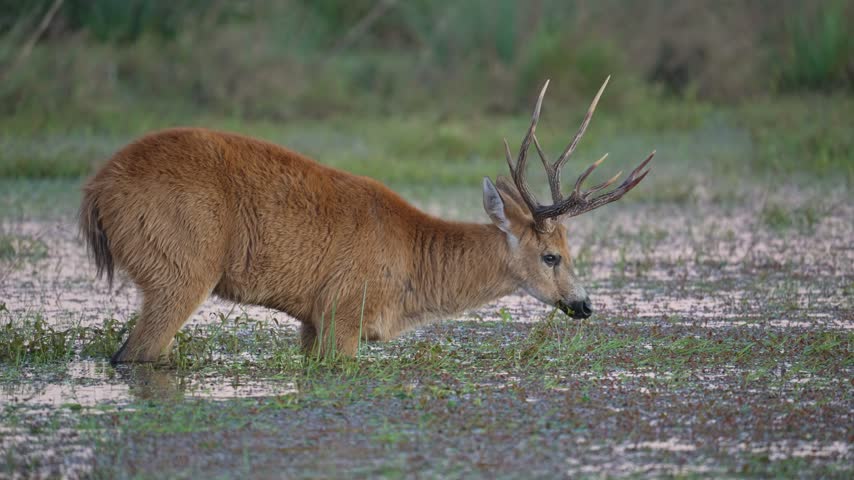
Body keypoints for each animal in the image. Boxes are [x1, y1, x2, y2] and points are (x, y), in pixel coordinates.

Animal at [79, 77, 654, 364]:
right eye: (551, 255)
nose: (584, 305)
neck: (411, 264)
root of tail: (97, 188)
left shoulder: (312, 319)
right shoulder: (344, 311)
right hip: (179, 269)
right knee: (134, 354)